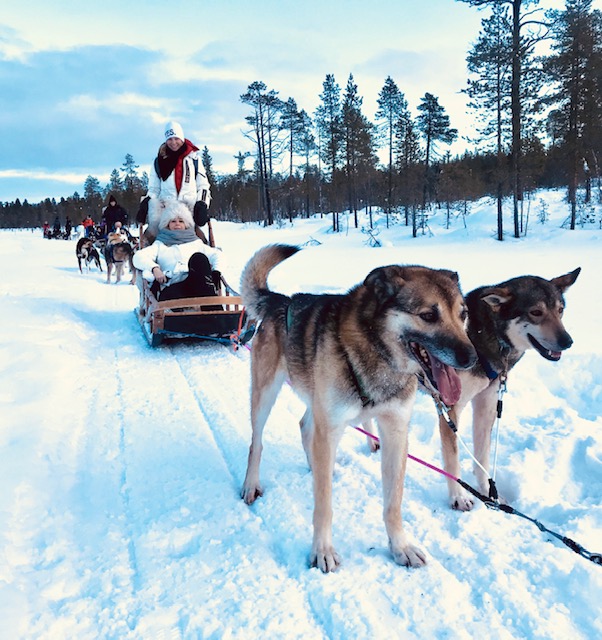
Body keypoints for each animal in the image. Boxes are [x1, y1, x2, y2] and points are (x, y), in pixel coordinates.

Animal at [240, 244, 477, 572]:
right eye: (429, 315)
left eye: (463, 314)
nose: (472, 357)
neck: (378, 354)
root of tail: (281, 300)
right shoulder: (331, 426)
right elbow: (323, 506)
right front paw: (322, 550)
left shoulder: (394, 431)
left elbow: (393, 503)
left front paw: (400, 547)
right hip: (266, 394)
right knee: (257, 442)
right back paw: (252, 484)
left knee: (305, 427)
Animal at [435, 268, 581, 511]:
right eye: (536, 312)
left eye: (560, 310)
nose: (567, 341)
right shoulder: (451, 407)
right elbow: (453, 460)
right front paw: (458, 497)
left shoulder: (486, 404)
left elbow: (482, 457)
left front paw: (488, 493)